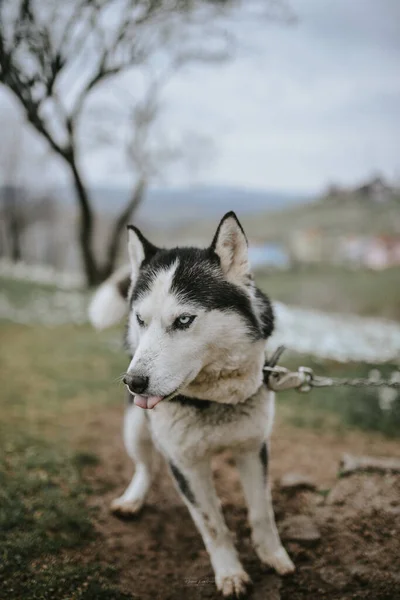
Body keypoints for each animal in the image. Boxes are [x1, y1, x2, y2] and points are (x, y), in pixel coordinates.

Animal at [88, 213, 294, 596]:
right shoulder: (185, 463)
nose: (134, 381)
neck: (212, 400)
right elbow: (212, 525)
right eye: (141, 319)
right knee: (146, 465)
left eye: (184, 320)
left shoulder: (253, 449)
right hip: (135, 428)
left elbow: (262, 512)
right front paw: (230, 572)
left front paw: (273, 555)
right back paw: (133, 499)